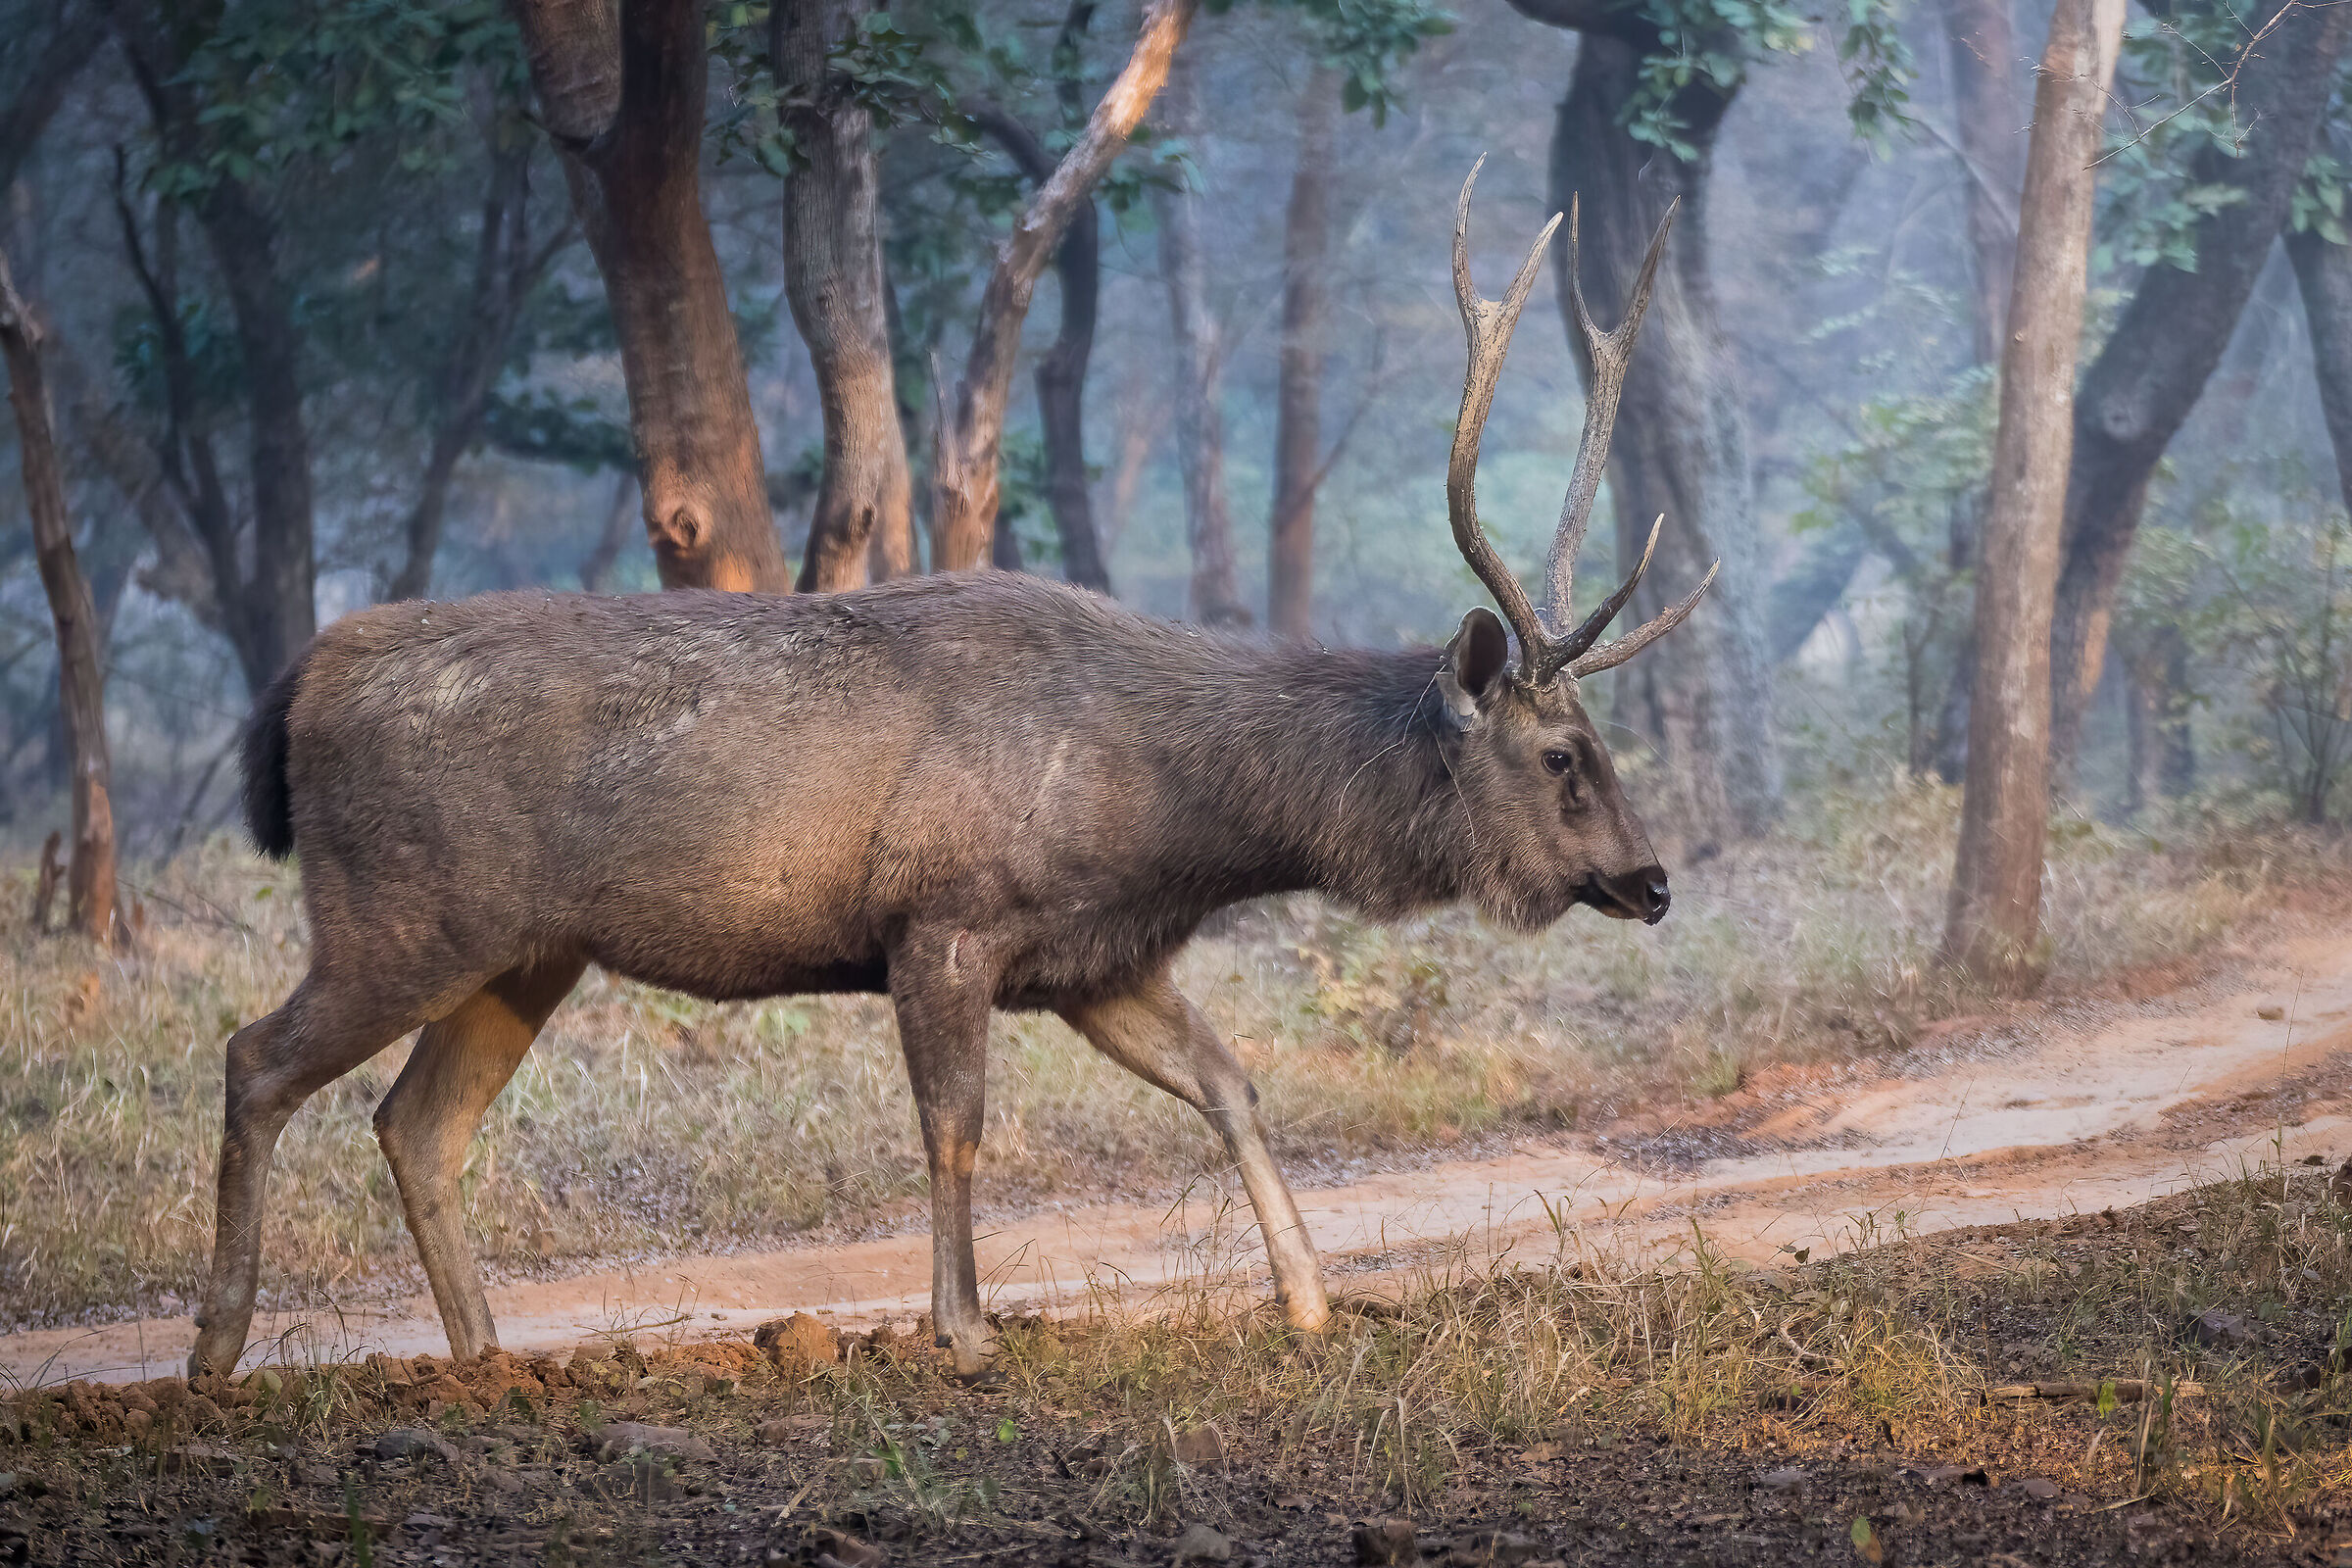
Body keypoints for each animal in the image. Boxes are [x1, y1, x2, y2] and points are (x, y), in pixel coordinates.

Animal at [188, 164, 1706, 1381]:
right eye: (1563, 755)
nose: (1651, 880)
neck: (1172, 815)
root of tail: (299, 686)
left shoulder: (1098, 957)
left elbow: (1230, 1082)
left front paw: (1313, 1302)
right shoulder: (945, 917)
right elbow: (957, 1127)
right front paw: (963, 1327)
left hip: (525, 949)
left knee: (416, 1124)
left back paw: (485, 1360)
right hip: (405, 911)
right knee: (257, 1057)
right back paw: (219, 1351)